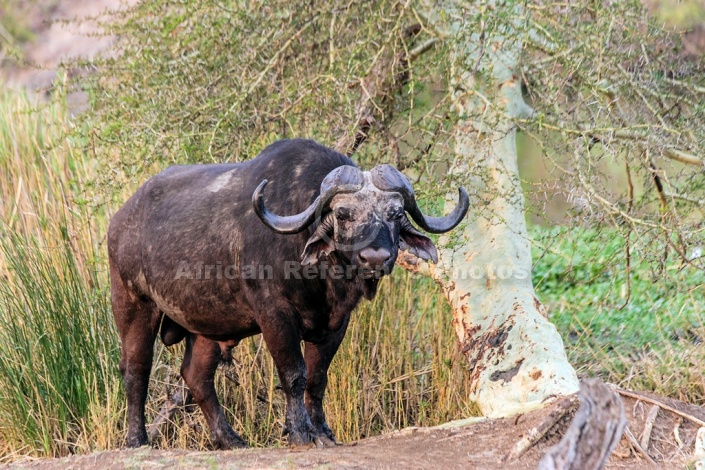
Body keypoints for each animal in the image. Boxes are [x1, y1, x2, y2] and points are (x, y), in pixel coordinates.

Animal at [108, 139, 468, 448]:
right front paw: (299, 432)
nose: (376, 257)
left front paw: (322, 431)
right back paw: (137, 440)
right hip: (133, 304)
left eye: (396, 214)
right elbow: (294, 374)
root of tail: (121, 219)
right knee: (135, 368)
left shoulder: (337, 324)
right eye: (343, 214)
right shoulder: (275, 314)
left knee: (197, 376)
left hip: (207, 326)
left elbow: (317, 379)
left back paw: (230, 440)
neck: (320, 278)